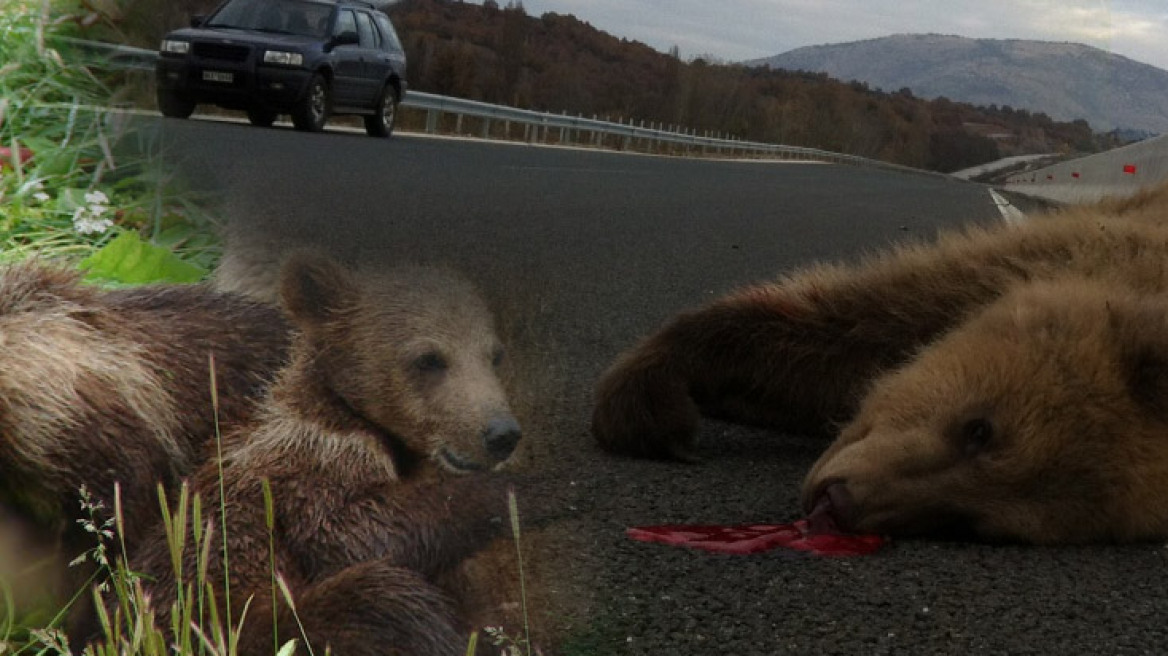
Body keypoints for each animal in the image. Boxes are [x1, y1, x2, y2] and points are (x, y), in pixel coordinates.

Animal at [127, 254, 525, 653]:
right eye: (429, 358)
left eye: (494, 355)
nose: (500, 432)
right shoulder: (311, 462)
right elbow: (349, 534)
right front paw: (523, 491)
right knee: (386, 601)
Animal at [593, 192, 1168, 541]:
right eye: (979, 429)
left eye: (970, 521)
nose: (839, 504)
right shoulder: (1016, 264)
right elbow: (844, 325)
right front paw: (651, 407)